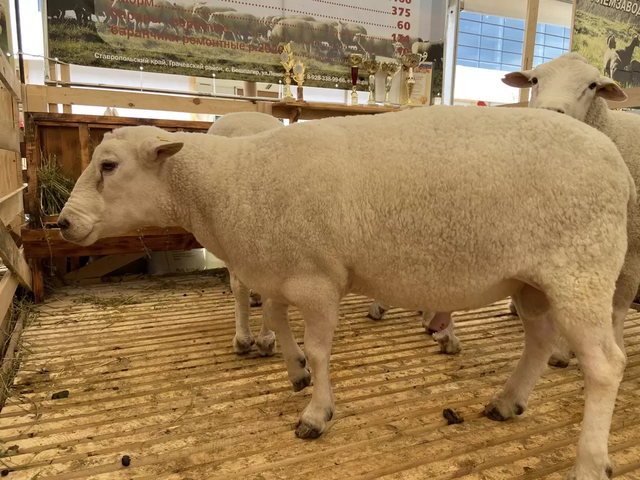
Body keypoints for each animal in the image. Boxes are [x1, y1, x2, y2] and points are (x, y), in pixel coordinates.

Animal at [58, 105, 634, 478]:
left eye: (108, 165)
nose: (62, 223)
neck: (229, 184)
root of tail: (619, 167)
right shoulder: (281, 267)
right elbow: (280, 324)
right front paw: (293, 371)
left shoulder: (316, 278)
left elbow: (318, 347)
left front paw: (316, 413)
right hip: (534, 280)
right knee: (539, 340)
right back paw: (507, 402)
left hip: (581, 270)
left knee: (606, 364)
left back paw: (589, 461)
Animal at [502, 52, 639, 373]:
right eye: (534, 80)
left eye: (592, 86)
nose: (551, 112)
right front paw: (563, 351)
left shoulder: (630, 249)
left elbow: (618, 306)